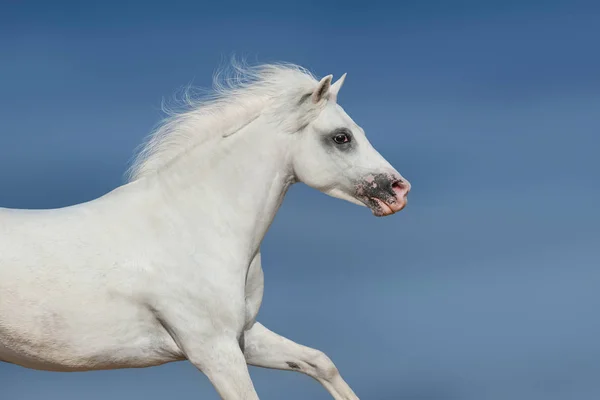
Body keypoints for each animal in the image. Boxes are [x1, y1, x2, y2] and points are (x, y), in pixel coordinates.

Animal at [0, 63, 408, 400]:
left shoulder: (243, 335)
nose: (398, 190)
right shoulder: (214, 351)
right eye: (342, 137)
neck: (191, 226)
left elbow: (320, 362)